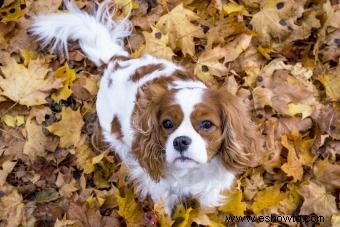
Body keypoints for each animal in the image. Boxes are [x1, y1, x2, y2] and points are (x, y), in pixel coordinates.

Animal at [30, 0, 258, 215]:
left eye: (207, 124)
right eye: (167, 123)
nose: (180, 141)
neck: (190, 173)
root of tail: (115, 61)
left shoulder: (211, 183)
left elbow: (206, 201)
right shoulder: (158, 185)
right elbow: (162, 205)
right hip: (114, 134)